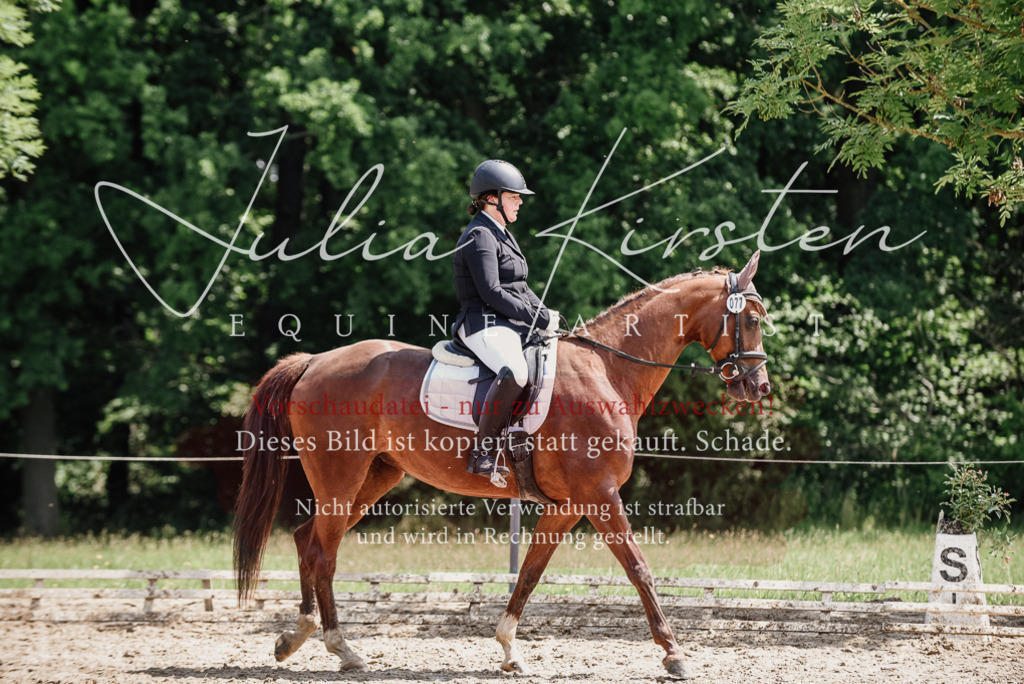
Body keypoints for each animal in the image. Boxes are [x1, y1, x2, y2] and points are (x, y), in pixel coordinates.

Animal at [233, 250, 771, 679]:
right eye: (752, 318)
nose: (759, 387)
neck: (607, 370)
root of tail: (315, 360)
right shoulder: (599, 495)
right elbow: (639, 568)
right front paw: (674, 654)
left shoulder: (568, 505)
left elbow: (531, 572)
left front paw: (510, 650)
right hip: (341, 476)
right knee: (323, 553)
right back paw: (342, 648)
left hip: (375, 476)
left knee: (306, 539)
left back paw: (295, 638)